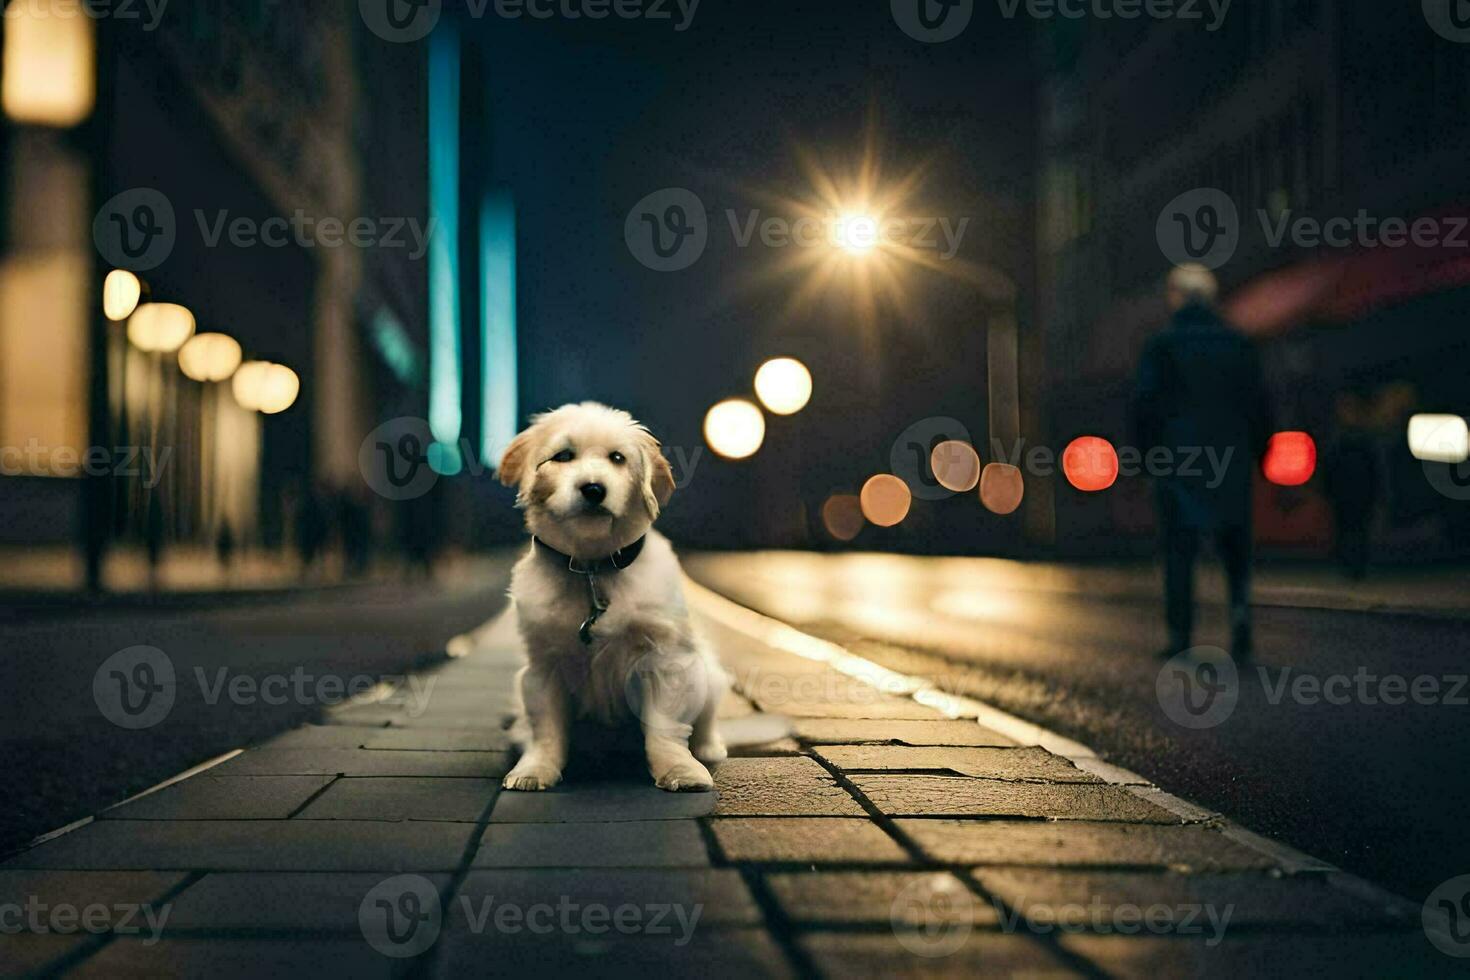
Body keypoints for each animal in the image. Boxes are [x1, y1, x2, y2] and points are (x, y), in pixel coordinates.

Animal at [496, 402, 726, 793]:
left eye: (617, 458)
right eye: (563, 456)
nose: (593, 489)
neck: (592, 570)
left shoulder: (666, 660)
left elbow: (664, 728)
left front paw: (679, 769)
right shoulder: (542, 667)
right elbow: (547, 730)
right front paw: (535, 769)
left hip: (708, 674)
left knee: (706, 721)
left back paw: (709, 748)